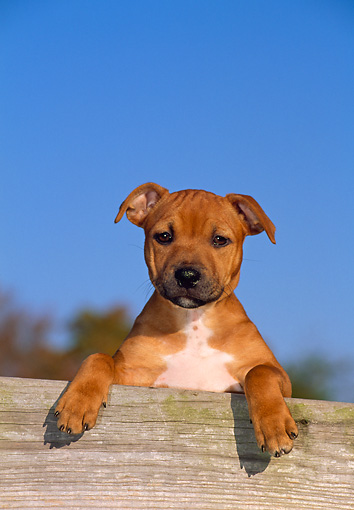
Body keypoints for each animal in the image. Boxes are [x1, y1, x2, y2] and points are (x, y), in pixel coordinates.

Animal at [56, 184, 298, 458]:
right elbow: (99, 357)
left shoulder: (279, 377)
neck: (194, 322)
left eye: (219, 239)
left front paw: (274, 425)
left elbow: (259, 372)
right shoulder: (133, 376)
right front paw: (78, 402)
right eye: (164, 236)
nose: (187, 275)